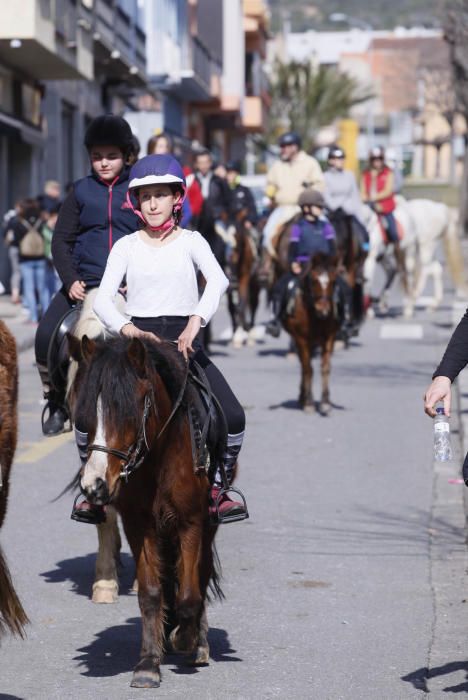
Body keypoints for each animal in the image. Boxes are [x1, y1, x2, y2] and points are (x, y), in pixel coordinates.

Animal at [68, 334, 223, 688]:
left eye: (128, 411)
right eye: (84, 413)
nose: (94, 484)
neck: (159, 458)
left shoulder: (191, 522)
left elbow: (190, 591)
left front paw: (186, 639)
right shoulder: (139, 524)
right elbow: (151, 592)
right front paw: (149, 662)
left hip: (207, 524)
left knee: (201, 573)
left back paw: (197, 641)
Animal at [282, 254, 340, 412]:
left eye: (333, 281)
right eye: (314, 280)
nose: (324, 310)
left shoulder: (329, 338)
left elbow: (325, 367)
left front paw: (325, 402)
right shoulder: (302, 339)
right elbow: (308, 369)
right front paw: (309, 403)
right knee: (304, 366)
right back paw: (304, 398)